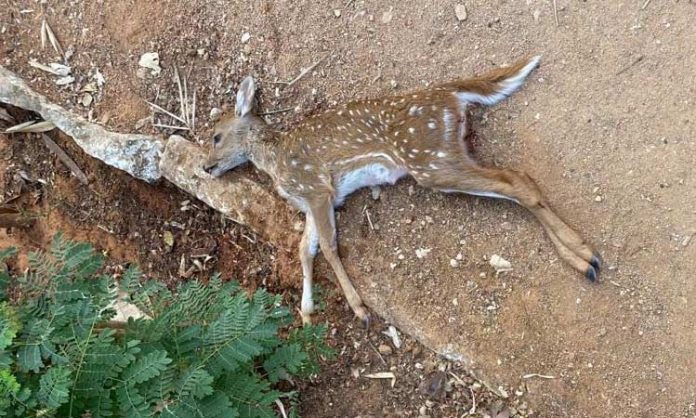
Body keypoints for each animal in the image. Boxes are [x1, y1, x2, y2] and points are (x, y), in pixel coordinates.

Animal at [204, 55, 600, 326]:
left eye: (216, 136)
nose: (206, 167)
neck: (274, 161)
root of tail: (450, 92)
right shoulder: (315, 198)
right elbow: (306, 249)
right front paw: (306, 312)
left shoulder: (316, 187)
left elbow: (329, 248)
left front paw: (359, 309)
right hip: (445, 153)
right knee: (518, 176)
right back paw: (584, 258)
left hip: (429, 159)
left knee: (517, 182)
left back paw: (585, 255)